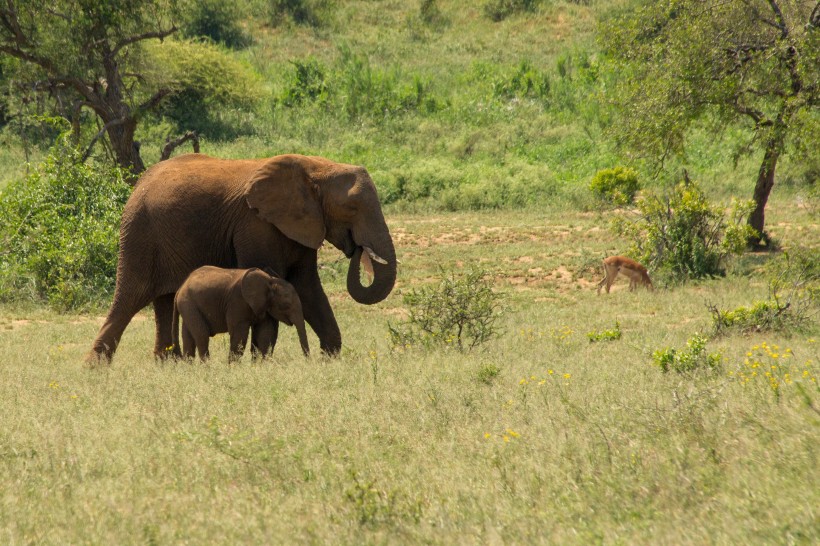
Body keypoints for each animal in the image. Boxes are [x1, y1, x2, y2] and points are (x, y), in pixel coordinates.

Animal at [171, 264, 310, 360]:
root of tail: (180, 289)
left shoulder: (263, 305)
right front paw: (233, 368)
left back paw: (190, 368)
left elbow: (264, 334)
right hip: (188, 303)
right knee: (202, 335)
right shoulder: (237, 302)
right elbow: (239, 335)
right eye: (286, 305)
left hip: (188, 306)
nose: (308, 360)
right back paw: (207, 368)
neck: (270, 281)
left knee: (188, 338)